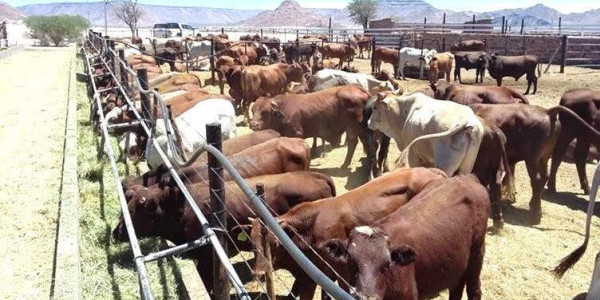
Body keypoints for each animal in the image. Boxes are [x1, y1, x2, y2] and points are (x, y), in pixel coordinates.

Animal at [318, 176, 488, 300]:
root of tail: (467, 177)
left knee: (474, 289)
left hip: (477, 255)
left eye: (386, 265)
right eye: (351, 262)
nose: (367, 297)